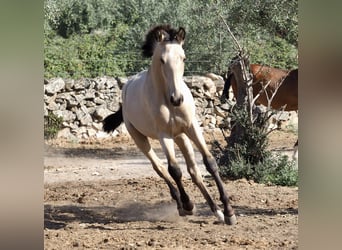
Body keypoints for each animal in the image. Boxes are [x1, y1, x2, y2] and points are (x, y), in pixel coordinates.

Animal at [103, 24, 236, 225]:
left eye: (183, 57)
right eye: (162, 60)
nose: (177, 99)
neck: (167, 97)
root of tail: (126, 88)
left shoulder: (192, 127)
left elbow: (209, 162)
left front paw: (228, 212)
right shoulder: (163, 134)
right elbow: (174, 170)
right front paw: (188, 205)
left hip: (180, 136)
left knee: (194, 171)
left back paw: (216, 211)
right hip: (140, 138)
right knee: (159, 168)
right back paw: (181, 205)